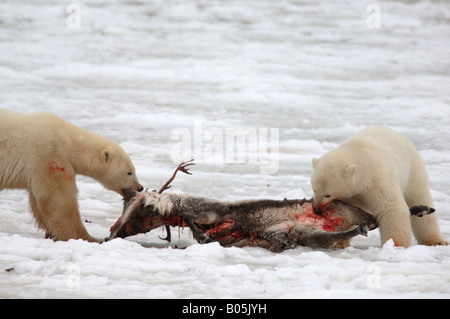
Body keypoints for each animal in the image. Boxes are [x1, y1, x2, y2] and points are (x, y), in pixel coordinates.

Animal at [0, 110, 143, 242]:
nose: (140, 187)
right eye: (129, 172)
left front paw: (50, 232)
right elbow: (58, 199)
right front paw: (89, 238)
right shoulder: (50, 158)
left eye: (133, 170)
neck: (68, 141)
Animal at [312, 126, 448, 249]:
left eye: (327, 194)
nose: (316, 209)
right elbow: (347, 213)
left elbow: (391, 208)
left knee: (419, 197)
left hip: (412, 169)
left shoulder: (377, 178)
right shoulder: (352, 194)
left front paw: (394, 245)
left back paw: (435, 240)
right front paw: (339, 242)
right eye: (314, 189)